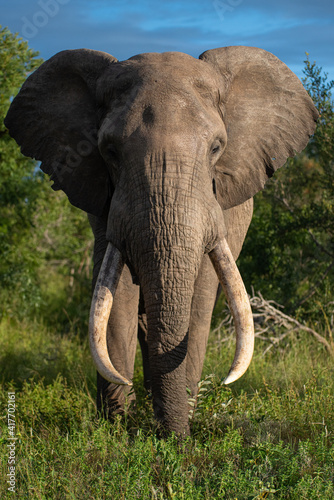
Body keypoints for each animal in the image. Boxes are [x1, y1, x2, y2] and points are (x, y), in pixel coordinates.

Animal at [5, 47, 318, 438]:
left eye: (217, 148)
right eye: (109, 151)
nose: (175, 438)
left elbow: (200, 294)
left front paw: (176, 420)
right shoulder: (105, 201)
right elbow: (115, 294)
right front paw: (117, 426)